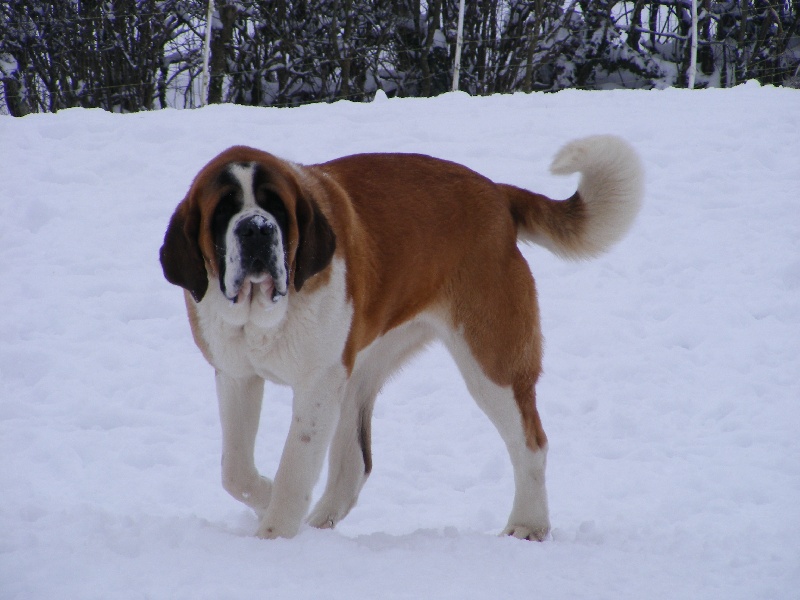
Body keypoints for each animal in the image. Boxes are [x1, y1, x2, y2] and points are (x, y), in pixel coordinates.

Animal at [159, 135, 643, 540]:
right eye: (224, 211)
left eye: (276, 207)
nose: (257, 228)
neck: (263, 318)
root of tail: (496, 193)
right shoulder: (236, 375)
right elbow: (235, 470)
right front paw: (266, 500)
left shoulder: (318, 383)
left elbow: (295, 466)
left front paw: (274, 533)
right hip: (362, 368)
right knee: (355, 464)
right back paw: (319, 524)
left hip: (491, 363)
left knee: (530, 444)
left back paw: (528, 524)